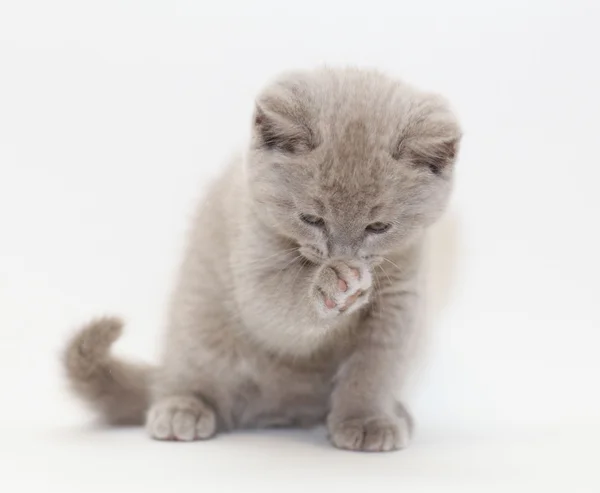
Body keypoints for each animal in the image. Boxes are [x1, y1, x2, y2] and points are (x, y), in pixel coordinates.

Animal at [63, 67, 462, 452]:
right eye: (311, 219)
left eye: (378, 227)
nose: (342, 255)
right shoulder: (253, 258)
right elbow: (278, 307)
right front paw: (332, 284)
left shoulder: (399, 297)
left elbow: (376, 366)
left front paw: (366, 420)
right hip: (196, 325)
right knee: (184, 373)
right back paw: (182, 408)